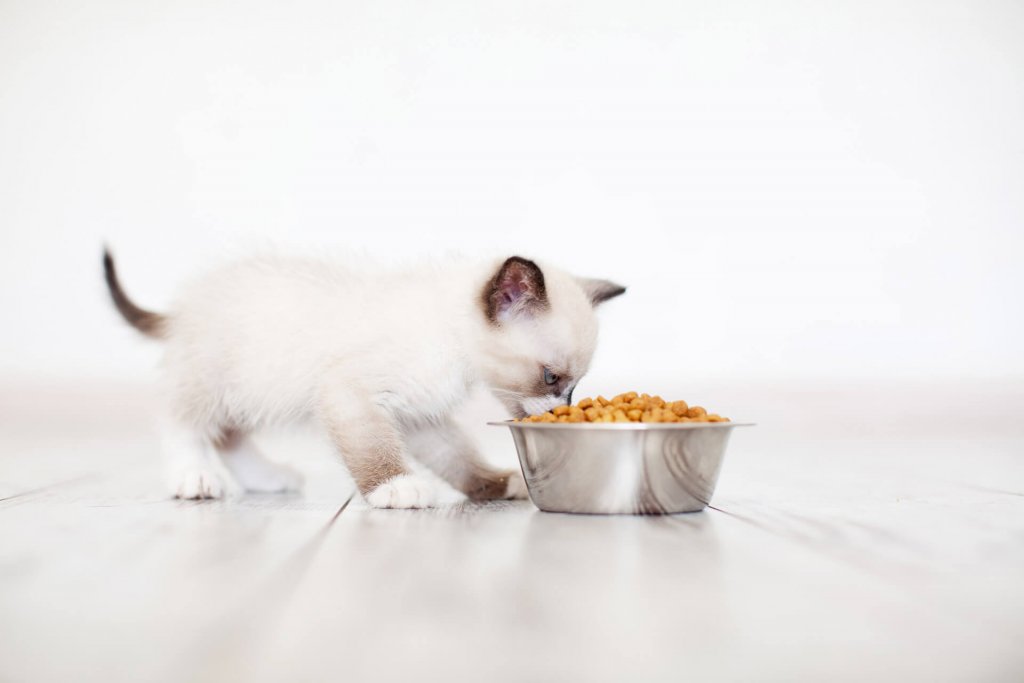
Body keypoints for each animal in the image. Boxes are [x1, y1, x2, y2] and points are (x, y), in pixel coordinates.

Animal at [108, 250, 626, 507]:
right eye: (551, 377)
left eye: (574, 386)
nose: (562, 409)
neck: (454, 347)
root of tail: (181, 308)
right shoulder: (351, 393)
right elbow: (374, 450)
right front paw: (395, 489)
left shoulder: (420, 416)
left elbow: (458, 458)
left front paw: (495, 485)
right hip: (214, 381)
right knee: (182, 422)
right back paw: (193, 477)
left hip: (249, 390)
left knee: (230, 435)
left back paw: (268, 478)